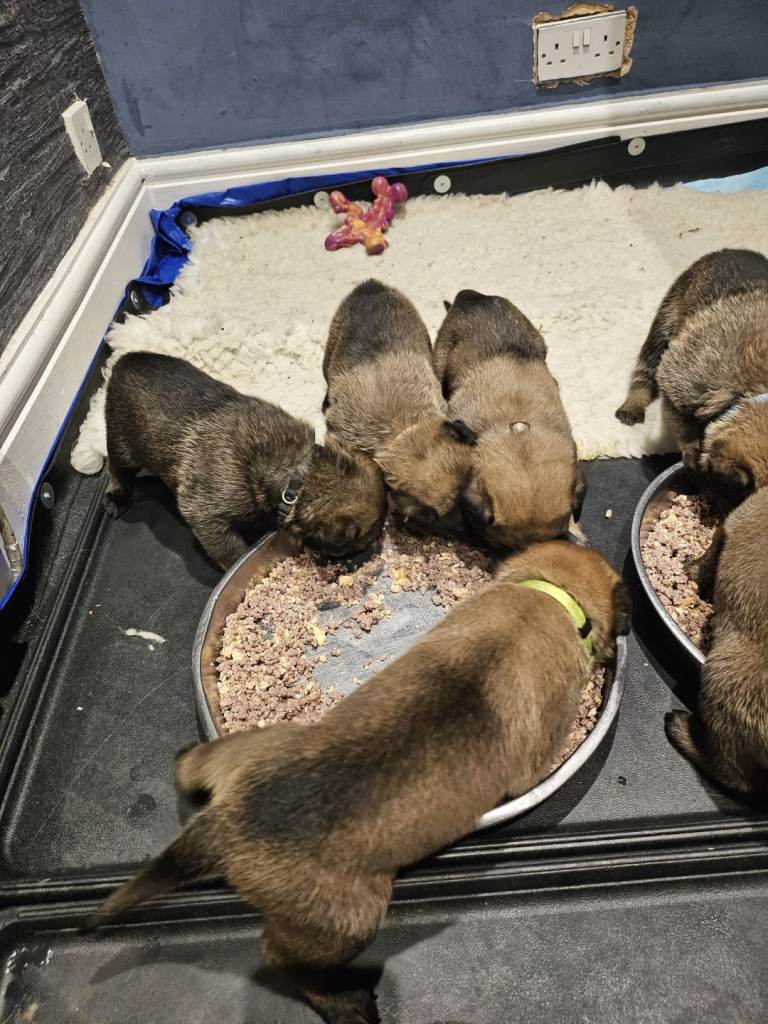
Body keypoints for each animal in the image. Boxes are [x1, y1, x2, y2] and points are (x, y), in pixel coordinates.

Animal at [83, 541, 630, 1023]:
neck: (551, 594)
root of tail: (224, 825)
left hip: (252, 747)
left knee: (194, 764)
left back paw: (186, 760)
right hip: (349, 918)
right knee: (281, 959)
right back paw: (341, 1002)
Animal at [104, 353, 386, 569]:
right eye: (362, 541)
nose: (376, 551)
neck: (298, 469)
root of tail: (122, 361)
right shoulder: (207, 517)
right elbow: (230, 552)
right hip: (122, 445)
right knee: (116, 470)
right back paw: (117, 495)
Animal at [616, 248, 768, 491]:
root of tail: (733, 250)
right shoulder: (677, 381)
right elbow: (683, 426)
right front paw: (691, 448)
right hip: (665, 319)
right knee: (645, 369)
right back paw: (634, 402)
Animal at [666, 486, 768, 801]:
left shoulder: (732, 524)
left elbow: (709, 558)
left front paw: (689, 568)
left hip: (721, 676)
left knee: (734, 773)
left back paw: (680, 727)